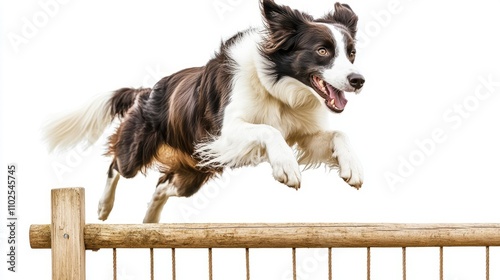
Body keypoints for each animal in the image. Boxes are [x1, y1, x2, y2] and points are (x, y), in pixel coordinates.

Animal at [44, 0, 364, 223]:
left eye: (351, 54)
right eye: (322, 51)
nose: (358, 80)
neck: (278, 87)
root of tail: (147, 92)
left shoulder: (302, 133)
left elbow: (339, 133)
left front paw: (352, 168)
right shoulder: (225, 132)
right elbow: (269, 130)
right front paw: (287, 168)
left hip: (194, 171)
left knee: (162, 185)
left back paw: (150, 222)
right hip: (139, 151)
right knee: (116, 165)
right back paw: (103, 208)